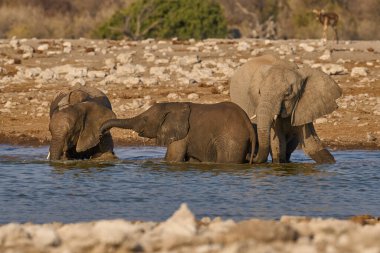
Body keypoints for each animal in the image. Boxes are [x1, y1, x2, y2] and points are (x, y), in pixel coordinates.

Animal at [99, 101, 256, 164]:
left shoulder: (181, 135)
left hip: (231, 141)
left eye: (145, 119)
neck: (173, 105)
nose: (100, 134)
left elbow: (172, 158)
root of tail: (248, 124)